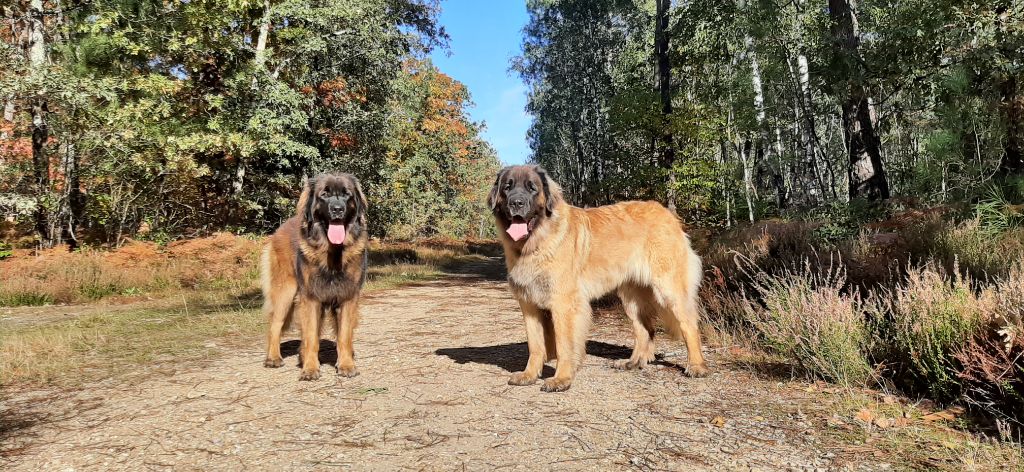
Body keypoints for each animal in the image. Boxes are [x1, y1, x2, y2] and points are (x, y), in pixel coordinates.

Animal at [487, 163, 704, 391]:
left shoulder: (564, 304)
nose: (516, 203)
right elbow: (535, 345)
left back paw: (696, 366)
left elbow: (564, 345)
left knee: (689, 324)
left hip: (669, 289)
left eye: (532, 188)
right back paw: (633, 362)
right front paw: (529, 375)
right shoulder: (529, 305)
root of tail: (667, 214)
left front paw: (561, 379)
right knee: (644, 329)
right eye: (507, 187)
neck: (536, 243)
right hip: (631, 297)